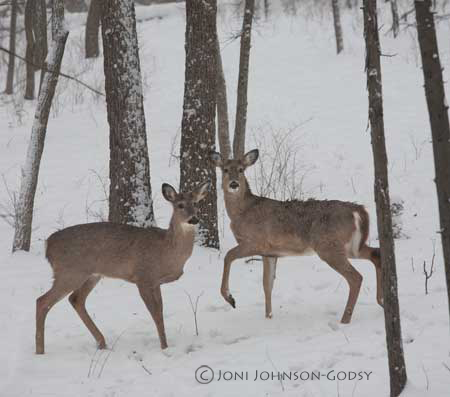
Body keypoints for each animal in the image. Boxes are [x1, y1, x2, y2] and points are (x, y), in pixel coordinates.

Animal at [35, 180, 209, 352]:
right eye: (180, 205)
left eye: (195, 203)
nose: (194, 219)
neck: (166, 252)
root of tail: (48, 245)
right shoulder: (143, 277)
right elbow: (155, 314)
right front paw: (164, 347)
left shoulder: (155, 282)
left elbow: (160, 311)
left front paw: (165, 345)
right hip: (70, 273)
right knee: (42, 301)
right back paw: (40, 351)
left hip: (92, 275)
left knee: (76, 299)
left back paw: (102, 343)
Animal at [212, 150, 384, 324]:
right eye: (225, 169)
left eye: (241, 170)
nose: (234, 184)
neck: (242, 212)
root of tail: (358, 211)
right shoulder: (270, 253)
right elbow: (267, 285)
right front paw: (269, 317)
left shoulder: (256, 242)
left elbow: (228, 256)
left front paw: (230, 297)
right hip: (350, 246)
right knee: (375, 254)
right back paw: (381, 301)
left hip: (329, 247)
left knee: (356, 277)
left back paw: (345, 320)